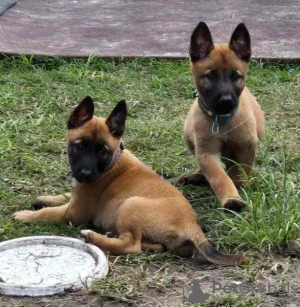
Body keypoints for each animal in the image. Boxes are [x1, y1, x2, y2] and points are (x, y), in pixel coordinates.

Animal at [13, 97, 248, 266]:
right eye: (79, 146)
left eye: (102, 151)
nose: (86, 174)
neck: (113, 161)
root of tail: (191, 225)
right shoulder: (78, 195)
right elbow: (65, 194)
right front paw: (45, 198)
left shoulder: (75, 212)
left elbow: (48, 214)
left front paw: (25, 215)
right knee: (152, 246)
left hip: (130, 204)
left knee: (132, 245)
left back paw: (94, 237)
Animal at [179, 21, 264, 212]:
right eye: (210, 75)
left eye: (235, 76)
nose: (226, 100)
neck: (222, 120)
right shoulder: (207, 153)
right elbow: (219, 177)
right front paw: (230, 197)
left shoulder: (247, 146)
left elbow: (238, 173)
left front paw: (238, 189)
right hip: (188, 135)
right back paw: (196, 176)